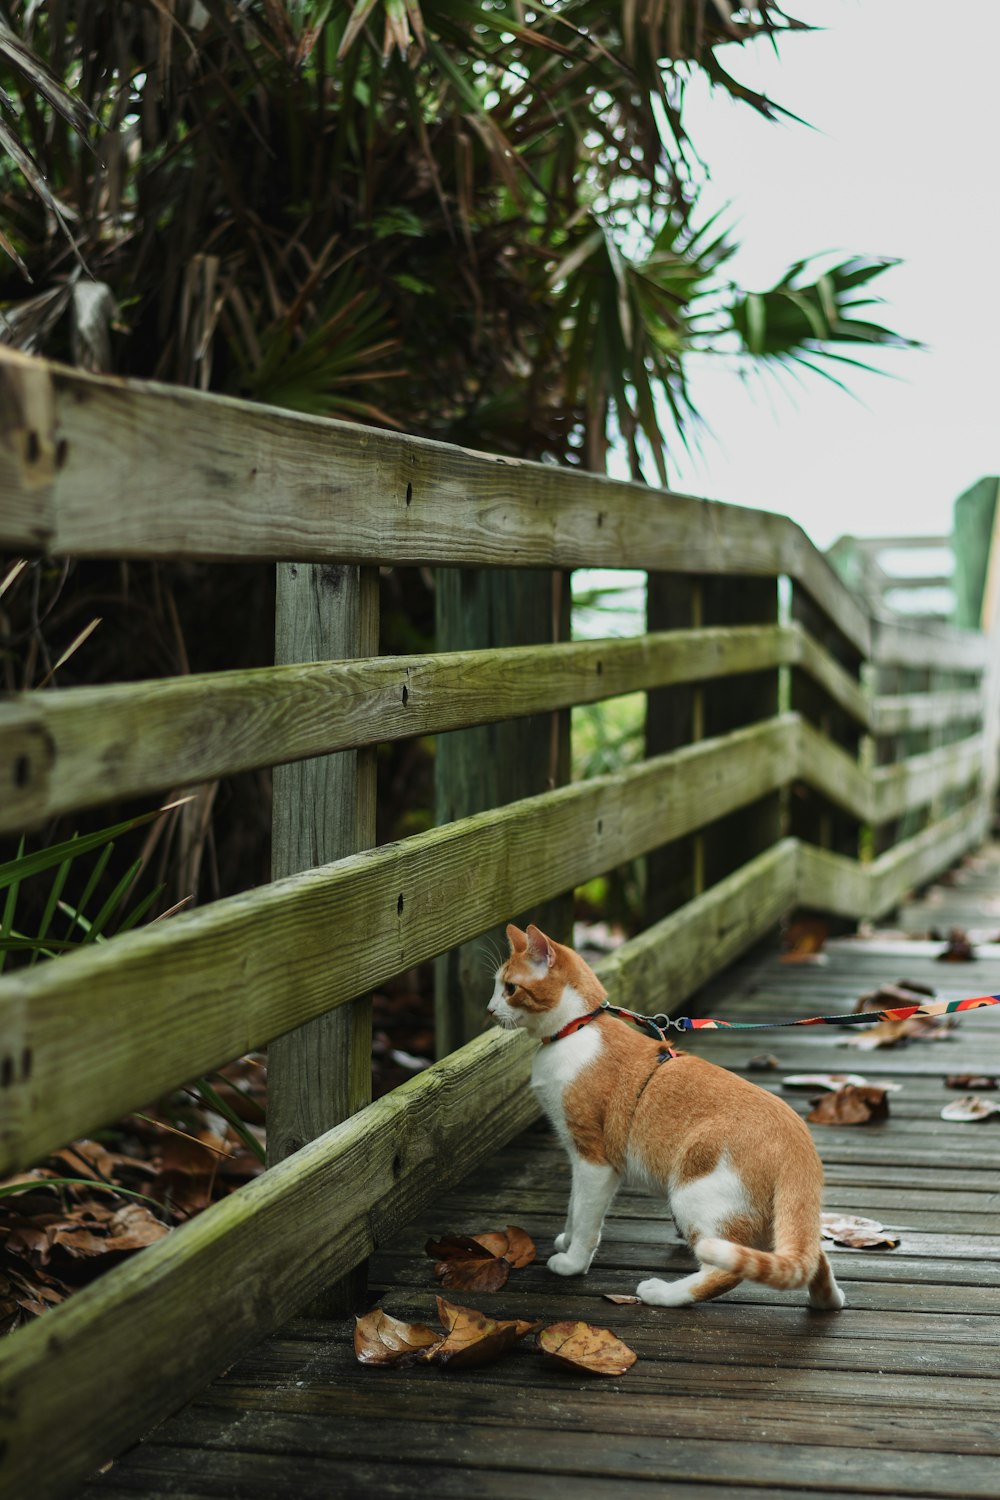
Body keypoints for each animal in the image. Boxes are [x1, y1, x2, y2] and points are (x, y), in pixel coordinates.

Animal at [491, 918, 845, 1308]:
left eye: (510, 988)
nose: (490, 1010)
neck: (577, 1030)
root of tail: (801, 1146)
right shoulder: (576, 1157)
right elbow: (572, 1207)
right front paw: (566, 1241)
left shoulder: (594, 1160)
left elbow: (585, 1218)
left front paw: (572, 1261)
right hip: (770, 1219)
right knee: (810, 1257)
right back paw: (827, 1301)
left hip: (694, 1197)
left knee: (724, 1270)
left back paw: (663, 1293)